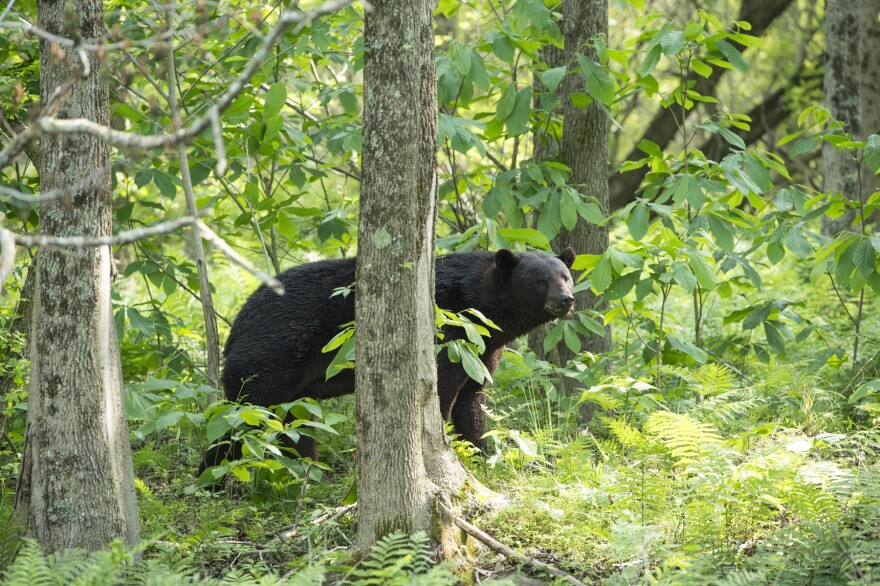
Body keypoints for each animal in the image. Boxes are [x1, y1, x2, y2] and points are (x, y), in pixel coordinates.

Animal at [200, 247, 576, 478]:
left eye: (565, 275)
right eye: (540, 280)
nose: (566, 299)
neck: (481, 307)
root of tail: (237, 321)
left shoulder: (481, 351)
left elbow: (472, 402)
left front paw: (484, 452)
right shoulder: (447, 336)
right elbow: (441, 393)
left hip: (292, 386)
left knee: (295, 423)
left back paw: (307, 470)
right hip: (271, 357)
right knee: (241, 415)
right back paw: (211, 476)